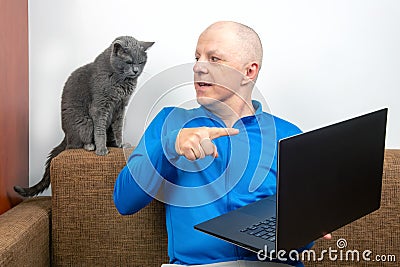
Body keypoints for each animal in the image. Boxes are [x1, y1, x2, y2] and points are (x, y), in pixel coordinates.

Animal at [14, 35, 154, 198]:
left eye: (141, 62)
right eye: (129, 62)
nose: (136, 70)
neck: (120, 81)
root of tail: (65, 135)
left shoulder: (120, 109)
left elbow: (118, 129)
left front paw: (120, 144)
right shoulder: (99, 106)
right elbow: (99, 131)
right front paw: (101, 150)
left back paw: (113, 143)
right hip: (85, 122)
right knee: (75, 144)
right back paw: (90, 146)